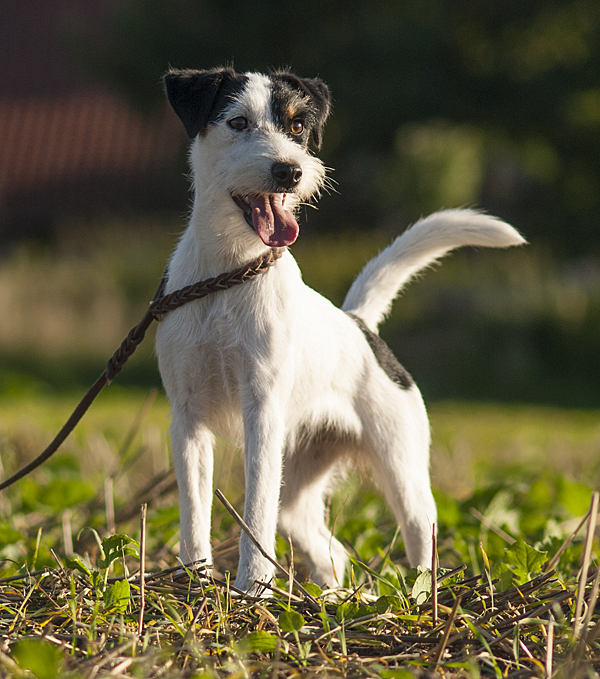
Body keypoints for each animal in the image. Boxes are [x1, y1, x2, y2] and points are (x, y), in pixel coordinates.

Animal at [156, 66, 524, 592]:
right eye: (238, 122)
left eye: (297, 126)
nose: (289, 170)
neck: (230, 271)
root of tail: (360, 324)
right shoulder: (187, 420)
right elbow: (193, 511)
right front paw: (194, 580)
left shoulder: (262, 410)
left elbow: (255, 510)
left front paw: (251, 589)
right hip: (300, 487)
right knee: (331, 549)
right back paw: (335, 597)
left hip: (402, 467)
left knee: (420, 534)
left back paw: (415, 596)